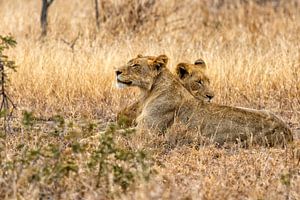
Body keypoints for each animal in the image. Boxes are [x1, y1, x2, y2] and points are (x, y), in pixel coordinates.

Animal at [115, 54, 292, 147]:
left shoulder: (146, 133)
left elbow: (116, 134)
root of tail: (287, 132)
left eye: (135, 65)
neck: (149, 91)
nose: (116, 71)